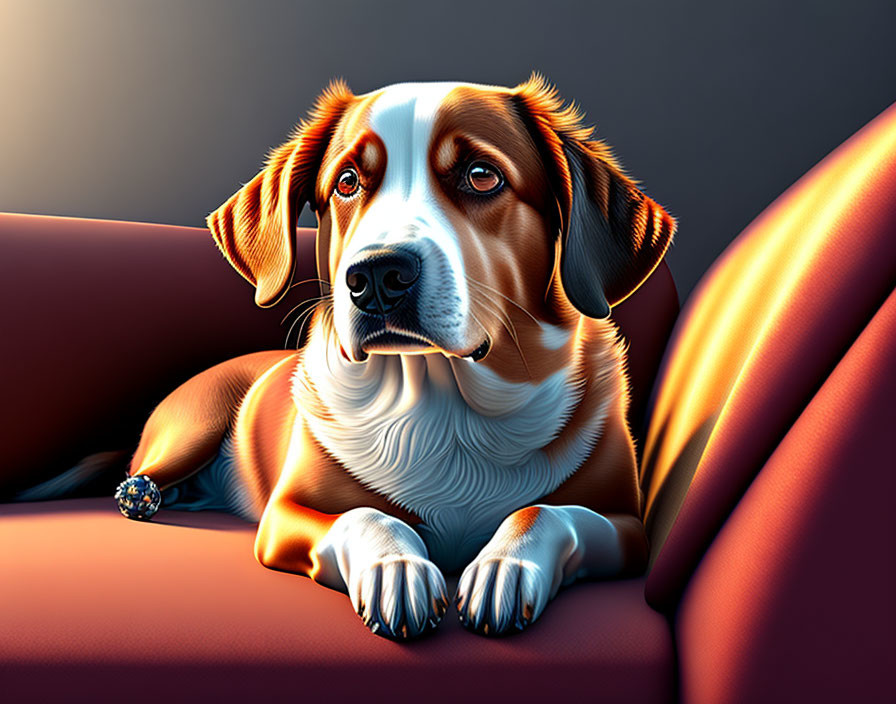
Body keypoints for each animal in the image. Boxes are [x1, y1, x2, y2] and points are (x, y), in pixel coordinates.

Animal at [114, 75, 672, 640]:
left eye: (481, 176)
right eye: (347, 182)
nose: (377, 276)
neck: (446, 408)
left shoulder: (627, 528)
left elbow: (546, 511)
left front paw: (505, 566)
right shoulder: (283, 517)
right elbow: (368, 515)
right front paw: (396, 569)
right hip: (195, 425)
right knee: (142, 478)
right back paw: (146, 496)